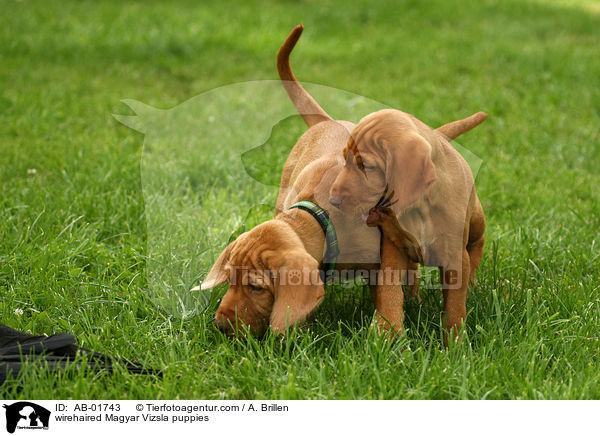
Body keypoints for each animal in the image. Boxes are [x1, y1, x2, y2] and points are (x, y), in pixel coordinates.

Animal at [195, 23, 486, 338]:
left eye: (256, 287)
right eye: (229, 280)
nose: (220, 325)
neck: (320, 216)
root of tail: (326, 121)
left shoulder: (379, 260)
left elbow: (388, 292)